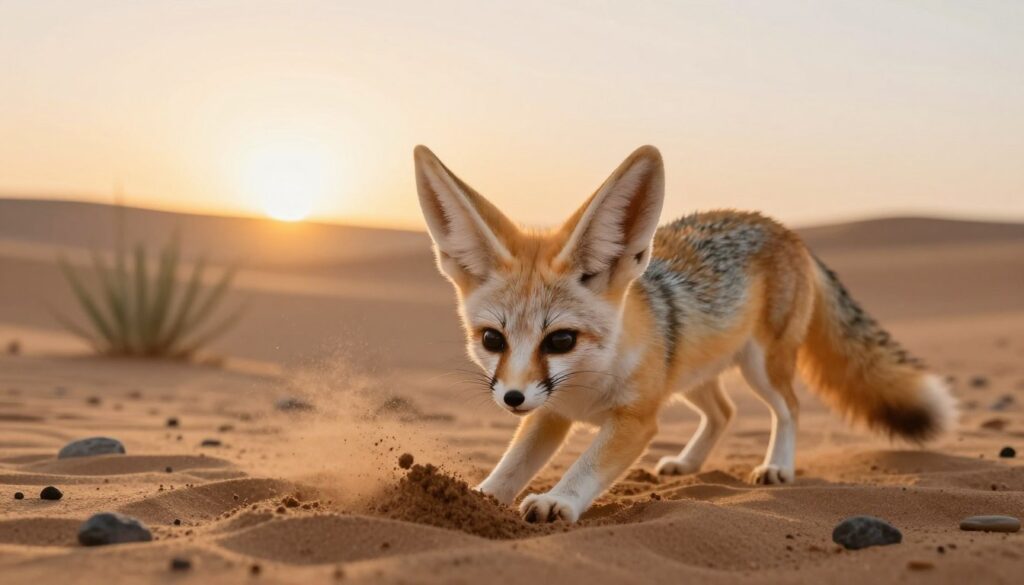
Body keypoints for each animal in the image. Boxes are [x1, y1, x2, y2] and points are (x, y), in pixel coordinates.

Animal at [413, 144, 956, 524]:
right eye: (492, 340)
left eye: (560, 341)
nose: (511, 398)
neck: (588, 387)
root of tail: (782, 227)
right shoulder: (552, 413)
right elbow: (511, 465)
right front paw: (478, 496)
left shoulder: (636, 421)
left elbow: (587, 465)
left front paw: (559, 499)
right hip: (691, 375)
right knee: (725, 411)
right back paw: (690, 463)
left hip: (760, 367)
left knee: (789, 408)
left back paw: (778, 466)